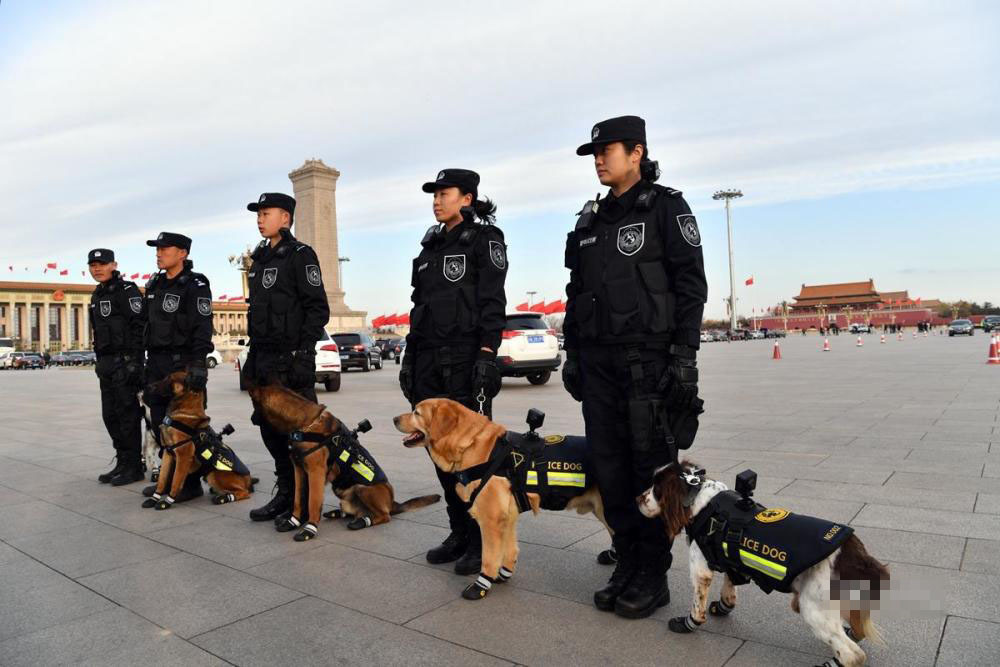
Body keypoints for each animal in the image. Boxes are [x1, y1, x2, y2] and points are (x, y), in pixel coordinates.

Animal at [141, 370, 254, 512]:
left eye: (169, 379)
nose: (148, 387)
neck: (183, 411)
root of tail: (248, 479)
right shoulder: (168, 453)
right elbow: (162, 479)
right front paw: (154, 498)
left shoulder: (183, 456)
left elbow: (176, 480)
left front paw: (167, 501)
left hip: (215, 474)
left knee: (244, 493)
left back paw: (224, 498)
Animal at [248, 380, 440, 544]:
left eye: (253, 405)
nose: (251, 420)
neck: (305, 424)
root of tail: (393, 503)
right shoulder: (299, 470)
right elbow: (298, 499)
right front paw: (293, 521)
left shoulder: (315, 473)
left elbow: (312, 502)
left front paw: (309, 529)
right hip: (340, 488)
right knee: (354, 511)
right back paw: (339, 513)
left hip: (362, 488)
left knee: (384, 516)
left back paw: (363, 521)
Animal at [392, 400, 608, 604]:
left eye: (417, 412)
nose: (394, 419)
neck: (470, 444)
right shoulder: (508, 516)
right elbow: (510, 550)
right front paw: (503, 575)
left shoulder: (491, 519)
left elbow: (489, 558)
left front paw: (481, 586)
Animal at [636, 462, 888, 667]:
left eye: (656, 489)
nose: (637, 499)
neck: (702, 502)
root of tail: (857, 555)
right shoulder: (730, 558)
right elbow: (730, 588)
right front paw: (723, 607)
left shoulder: (700, 568)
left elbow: (698, 607)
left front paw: (686, 624)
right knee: (857, 632)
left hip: (814, 608)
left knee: (853, 654)